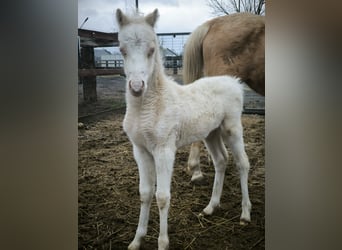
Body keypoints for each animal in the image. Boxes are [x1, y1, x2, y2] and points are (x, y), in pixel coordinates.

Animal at [115, 8, 251, 250]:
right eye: (122, 50)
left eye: (152, 50)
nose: (137, 87)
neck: (148, 107)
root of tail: (233, 81)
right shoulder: (140, 150)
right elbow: (145, 193)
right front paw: (137, 240)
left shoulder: (164, 150)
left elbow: (162, 196)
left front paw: (162, 242)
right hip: (211, 133)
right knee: (221, 160)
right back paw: (210, 207)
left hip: (232, 128)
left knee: (242, 163)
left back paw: (245, 214)